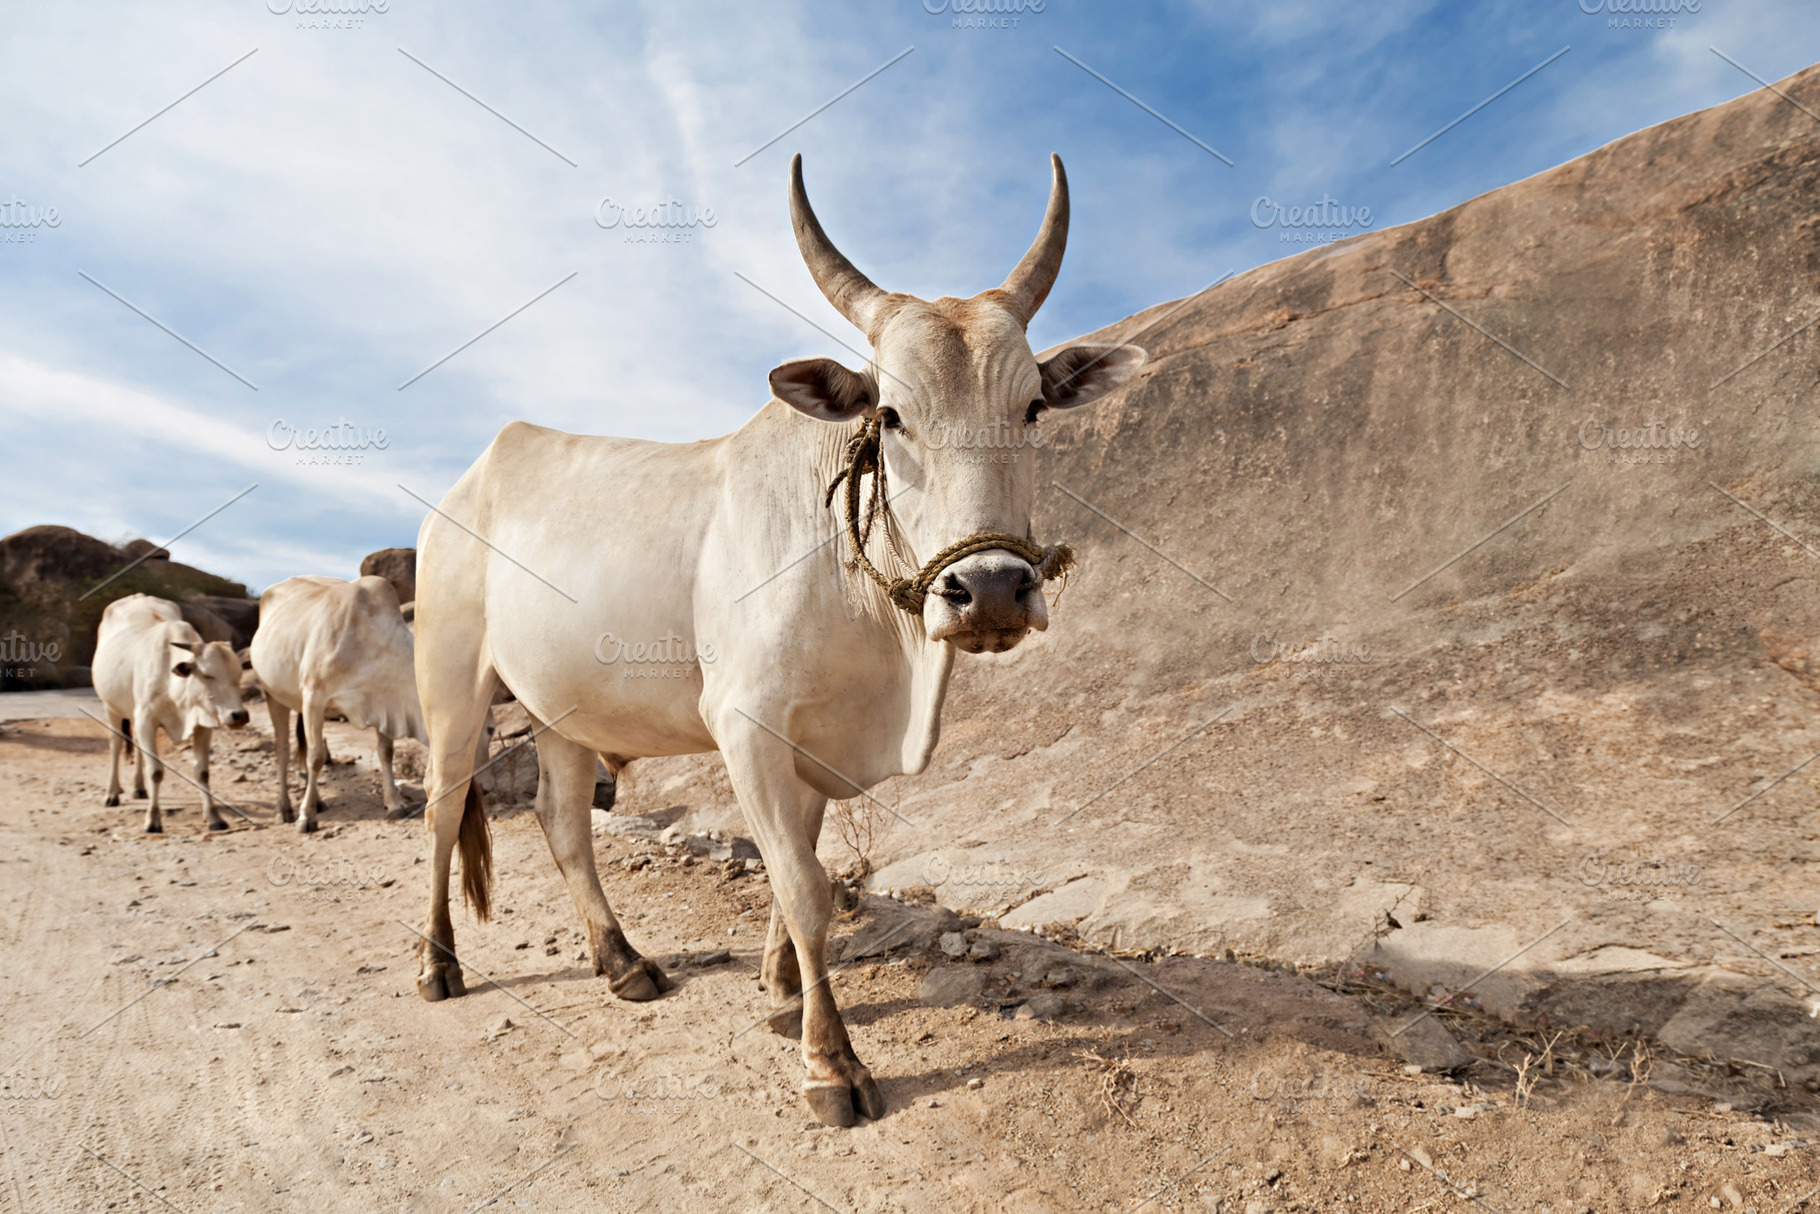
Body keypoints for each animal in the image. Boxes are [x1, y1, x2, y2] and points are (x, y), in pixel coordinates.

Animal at [93, 593, 251, 832]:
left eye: (238, 674)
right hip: (111, 707)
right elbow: (156, 772)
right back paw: (112, 793)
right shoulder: (146, 719)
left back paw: (138, 788)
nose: (239, 715)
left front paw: (214, 818)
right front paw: (152, 820)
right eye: (208, 675)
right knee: (115, 745)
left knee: (136, 745)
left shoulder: (202, 724)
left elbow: (202, 772)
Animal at [250, 575, 426, 832]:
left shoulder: (384, 705)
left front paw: (395, 804)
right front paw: (306, 817)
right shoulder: (313, 698)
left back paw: (317, 801)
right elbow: (316, 757)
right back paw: (284, 808)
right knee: (283, 749)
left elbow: (386, 752)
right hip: (273, 695)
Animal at [411, 153, 1145, 1126]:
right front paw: (829, 1063)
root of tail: (463, 488)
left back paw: (623, 963)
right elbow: (803, 884)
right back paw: (437, 965)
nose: (989, 589)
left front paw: (780, 989)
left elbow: (804, 859)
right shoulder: (746, 723)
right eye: (893, 416)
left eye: (1030, 408)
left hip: (562, 710)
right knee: (442, 808)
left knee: (562, 824)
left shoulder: (814, 743)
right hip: (452, 688)